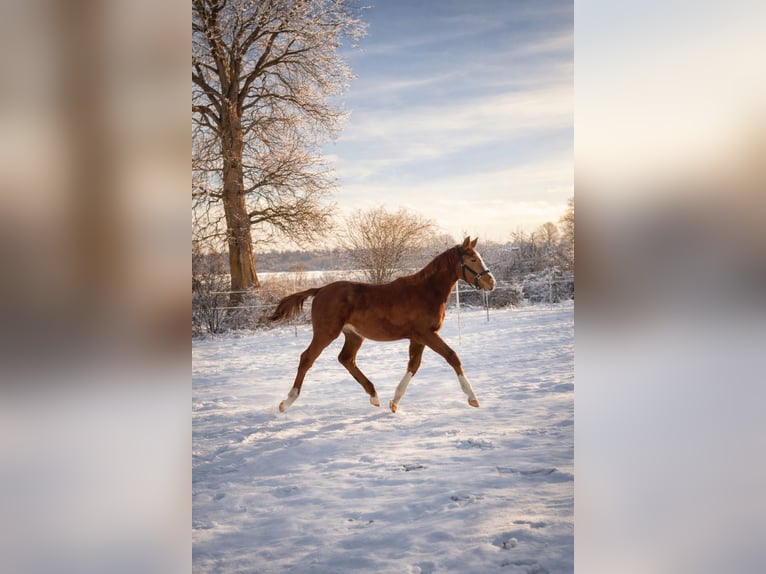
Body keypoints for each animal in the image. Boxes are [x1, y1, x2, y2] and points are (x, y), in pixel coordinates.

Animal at [268, 237, 496, 412]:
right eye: (473, 259)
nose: (491, 283)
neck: (426, 291)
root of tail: (320, 290)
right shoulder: (426, 334)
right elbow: (452, 357)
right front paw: (472, 398)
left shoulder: (418, 338)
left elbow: (413, 365)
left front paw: (394, 402)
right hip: (326, 333)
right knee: (307, 358)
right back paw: (286, 402)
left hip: (354, 335)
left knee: (346, 359)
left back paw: (374, 396)